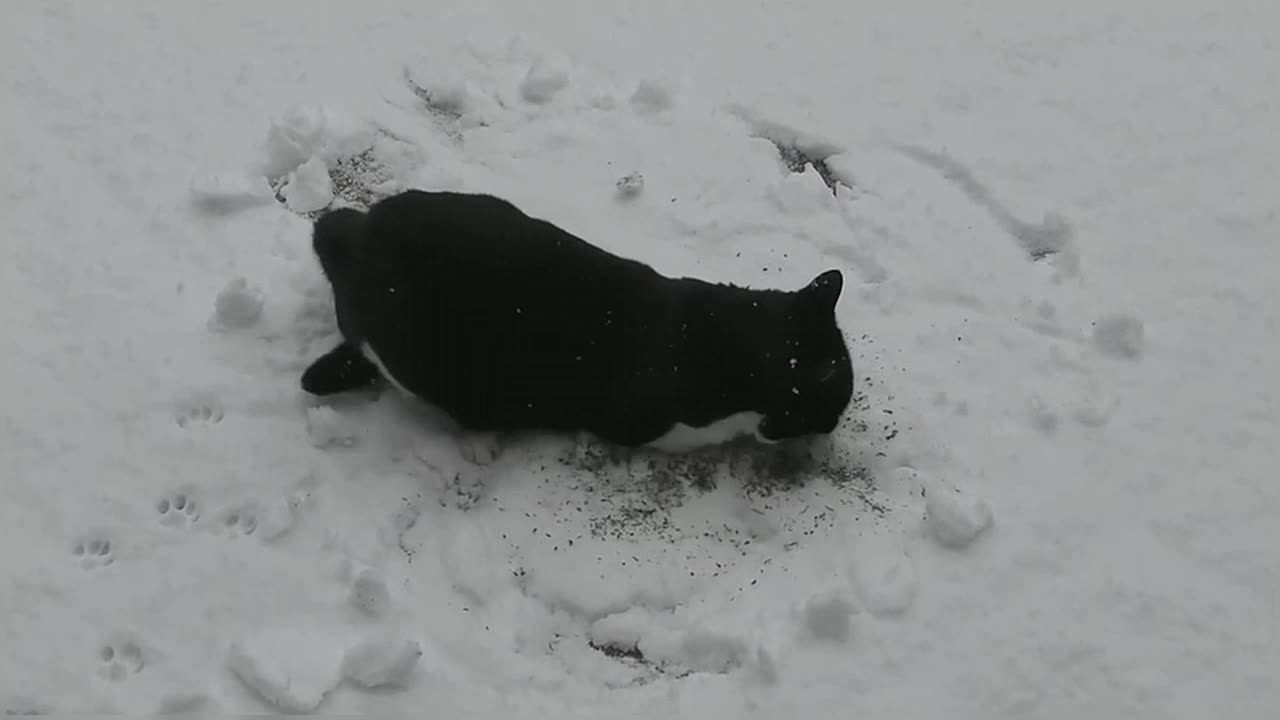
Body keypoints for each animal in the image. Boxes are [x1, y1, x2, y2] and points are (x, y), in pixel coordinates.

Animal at [300, 190, 855, 458]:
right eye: (827, 408)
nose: (832, 429)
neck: (739, 338)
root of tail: (359, 240)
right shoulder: (644, 425)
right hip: (425, 358)